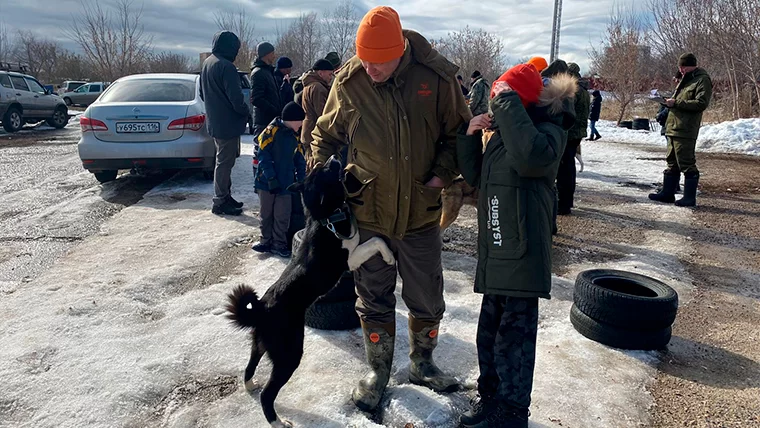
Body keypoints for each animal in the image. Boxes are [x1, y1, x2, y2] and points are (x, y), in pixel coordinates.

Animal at [224, 155, 392, 426]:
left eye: (320, 167)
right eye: (326, 170)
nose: (334, 157)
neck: (325, 219)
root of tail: (262, 309)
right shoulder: (351, 258)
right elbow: (377, 241)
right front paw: (390, 257)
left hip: (259, 345)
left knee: (249, 367)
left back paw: (250, 385)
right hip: (290, 354)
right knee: (268, 395)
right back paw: (278, 422)